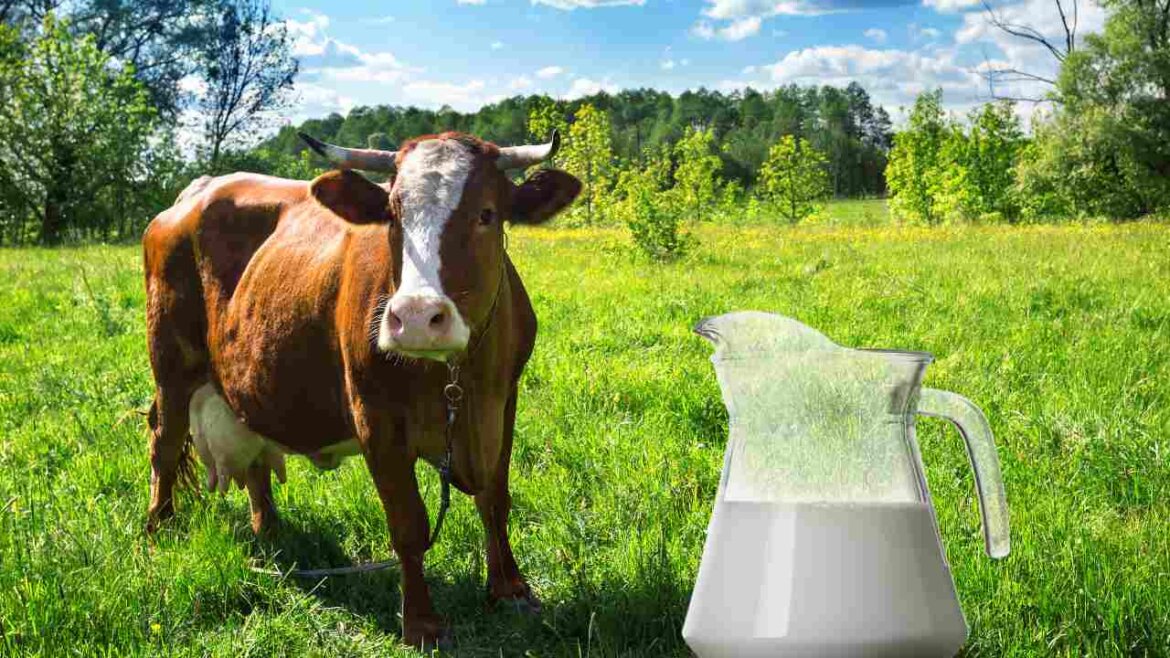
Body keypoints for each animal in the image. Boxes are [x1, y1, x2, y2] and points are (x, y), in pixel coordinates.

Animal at [141, 131, 582, 648]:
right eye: (392, 213)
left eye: (487, 214)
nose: (417, 317)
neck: (455, 380)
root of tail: (197, 191)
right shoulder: (375, 418)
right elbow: (408, 523)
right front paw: (422, 623)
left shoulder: (503, 401)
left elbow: (495, 498)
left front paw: (510, 590)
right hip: (170, 365)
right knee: (164, 444)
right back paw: (159, 529)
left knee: (253, 457)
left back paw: (270, 531)